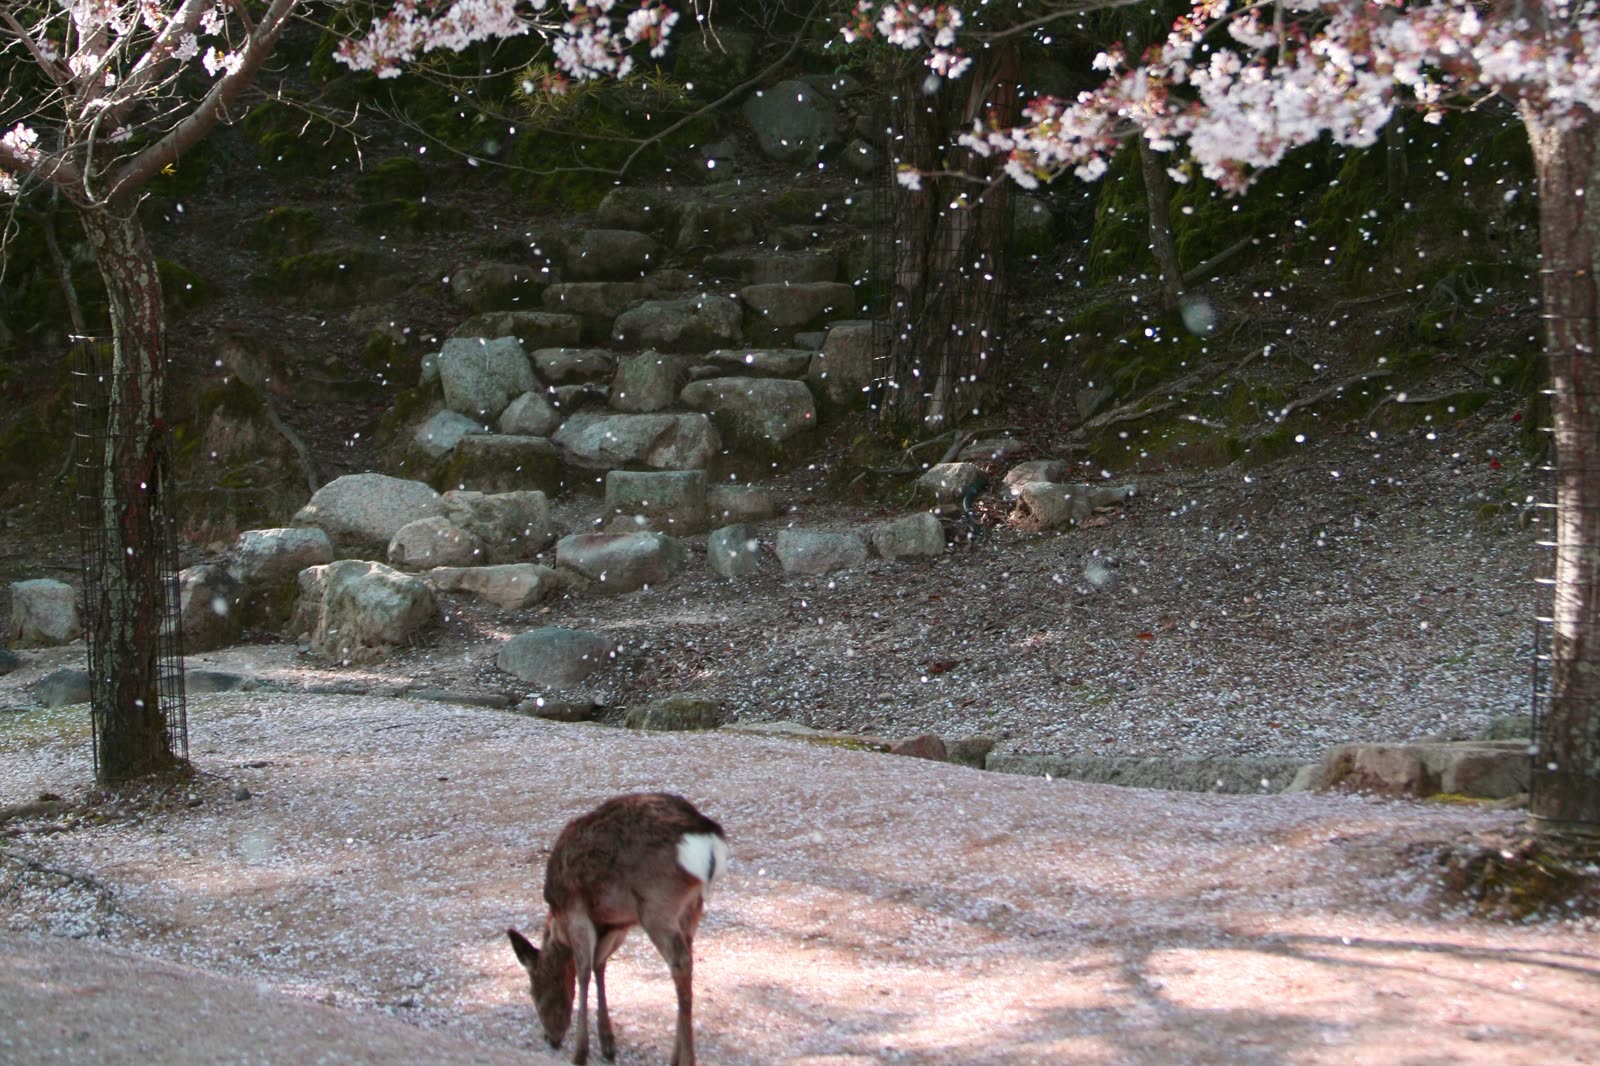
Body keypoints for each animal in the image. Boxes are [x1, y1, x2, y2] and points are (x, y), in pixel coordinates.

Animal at [508, 792, 729, 1066]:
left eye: (533, 988)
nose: (551, 1039)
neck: (557, 925)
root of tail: (707, 837)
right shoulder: (617, 924)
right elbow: (599, 965)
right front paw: (608, 1045)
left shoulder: (576, 912)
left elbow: (583, 972)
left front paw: (580, 1053)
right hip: (691, 907)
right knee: (686, 960)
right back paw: (675, 1056)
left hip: (657, 904)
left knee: (680, 963)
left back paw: (686, 1059)